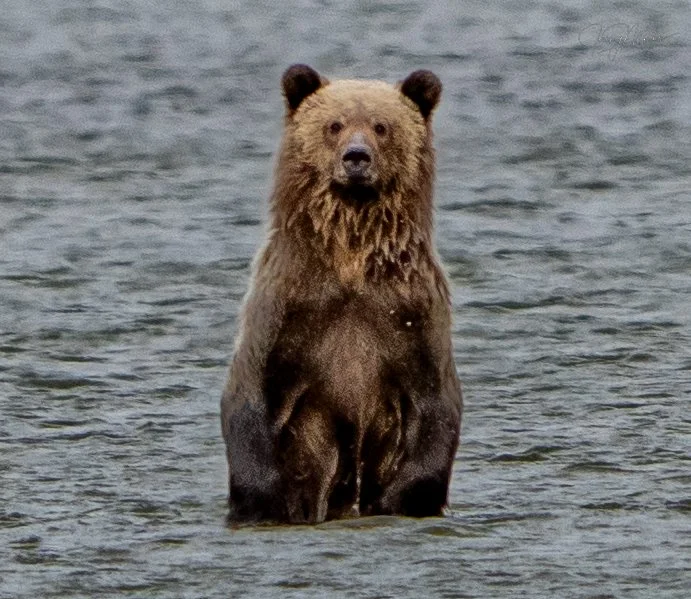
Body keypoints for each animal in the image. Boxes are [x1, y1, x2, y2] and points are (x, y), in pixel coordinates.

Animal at [220, 64, 462, 524]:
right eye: (334, 125)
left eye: (381, 126)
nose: (356, 157)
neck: (350, 254)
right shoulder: (289, 313)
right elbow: (249, 403)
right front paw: (268, 500)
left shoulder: (410, 315)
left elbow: (435, 410)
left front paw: (396, 500)